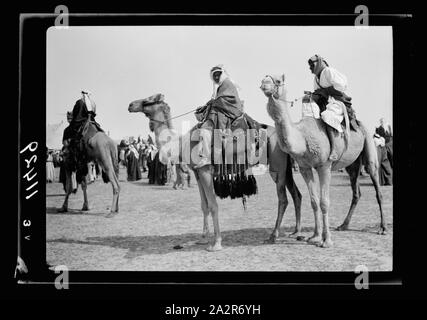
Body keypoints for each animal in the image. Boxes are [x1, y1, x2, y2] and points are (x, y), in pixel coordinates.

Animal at [129, 92, 302, 250]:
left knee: (283, 199)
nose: (131, 105)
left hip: (277, 166)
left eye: (148, 100)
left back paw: (273, 236)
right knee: (296, 194)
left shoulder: (205, 170)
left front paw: (216, 243)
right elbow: (204, 205)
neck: (181, 143)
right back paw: (296, 232)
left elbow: (213, 205)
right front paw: (203, 238)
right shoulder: (198, 173)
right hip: (285, 167)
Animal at [260, 74, 388, 248]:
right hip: (352, 165)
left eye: (278, 81)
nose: (264, 84)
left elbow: (324, 202)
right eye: (263, 79)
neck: (302, 138)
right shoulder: (305, 168)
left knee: (376, 186)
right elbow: (314, 201)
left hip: (369, 146)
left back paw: (383, 228)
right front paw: (315, 236)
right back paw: (343, 225)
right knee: (356, 192)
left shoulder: (324, 166)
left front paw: (326, 240)